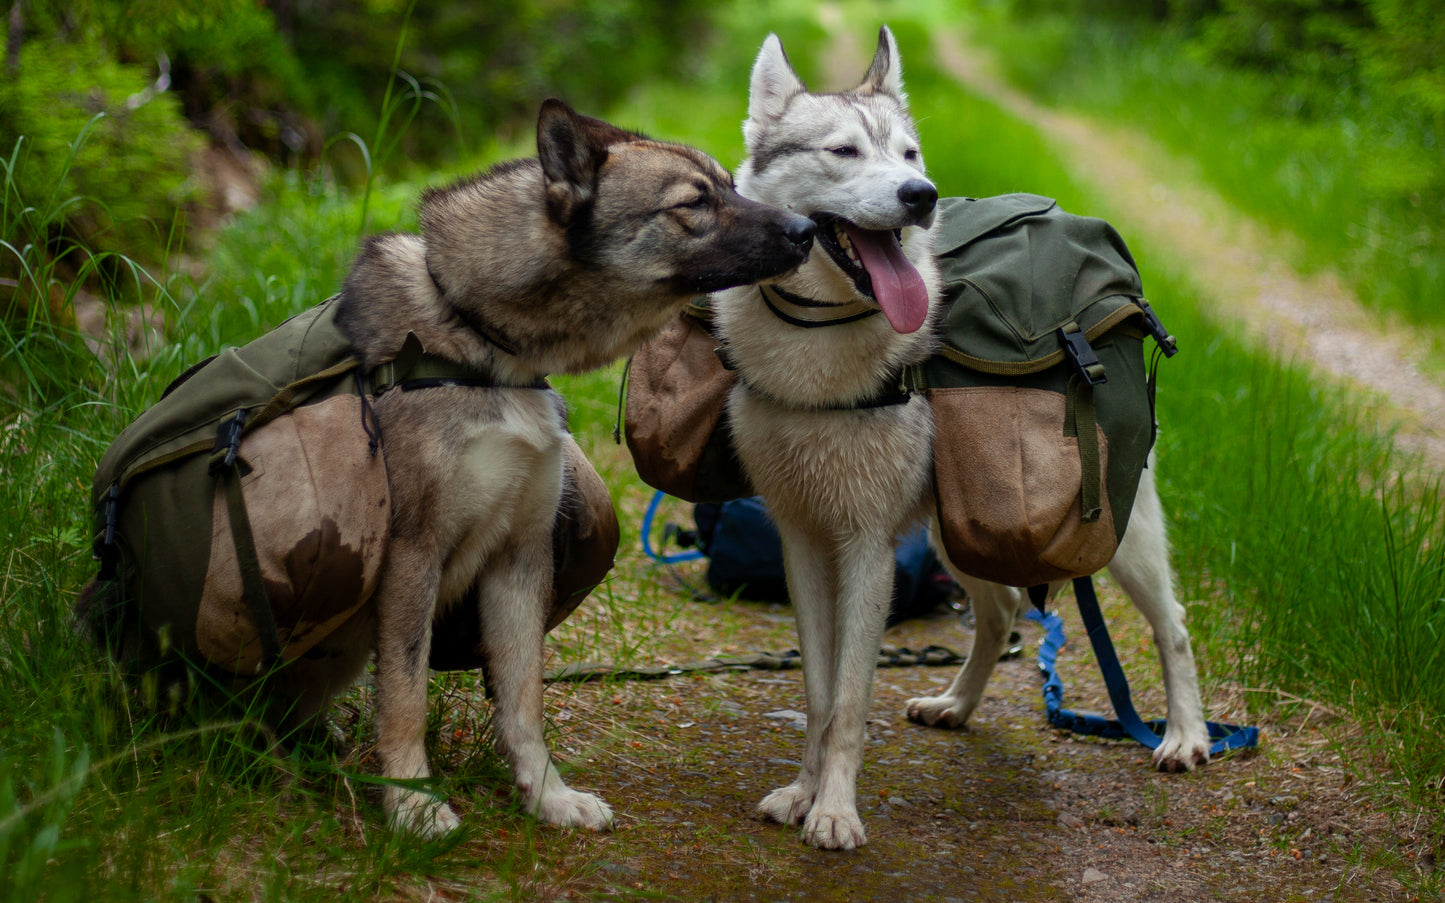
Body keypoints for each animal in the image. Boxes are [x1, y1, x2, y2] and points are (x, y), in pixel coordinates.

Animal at [710, 24, 1208, 849]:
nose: (921, 196)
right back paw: (957, 705)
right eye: (843, 151)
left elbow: (848, 699)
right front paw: (803, 793)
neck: (817, 351)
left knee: (1171, 624)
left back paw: (1186, 736)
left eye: (909, 154)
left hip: (1115, 532)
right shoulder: (802, 541)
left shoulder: (866, 547)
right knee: (1001, 611)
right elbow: (817, 694)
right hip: (960, 527)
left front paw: (835, 810)